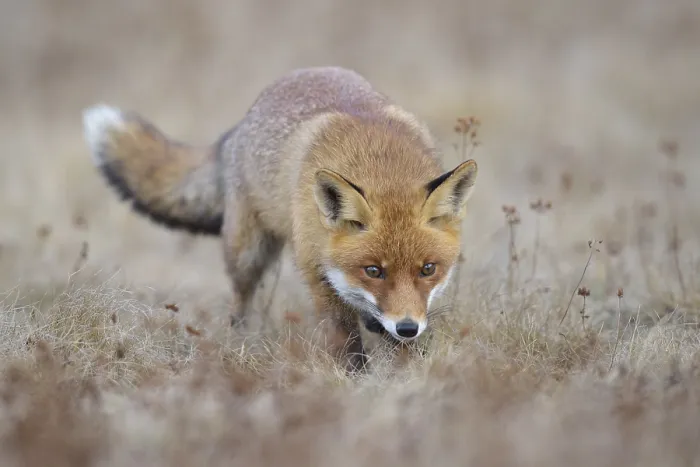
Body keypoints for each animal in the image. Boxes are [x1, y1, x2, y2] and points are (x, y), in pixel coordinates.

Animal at [81, 66, 478, 372]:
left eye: (428, 269)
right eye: (373, 271)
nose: (407, 327)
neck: (380, 163)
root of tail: (240, 126)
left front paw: (404, 373)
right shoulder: (317, 270)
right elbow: (345, 339)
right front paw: (355, 381)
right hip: (248, 253)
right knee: (240, 303)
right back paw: (241, 339)